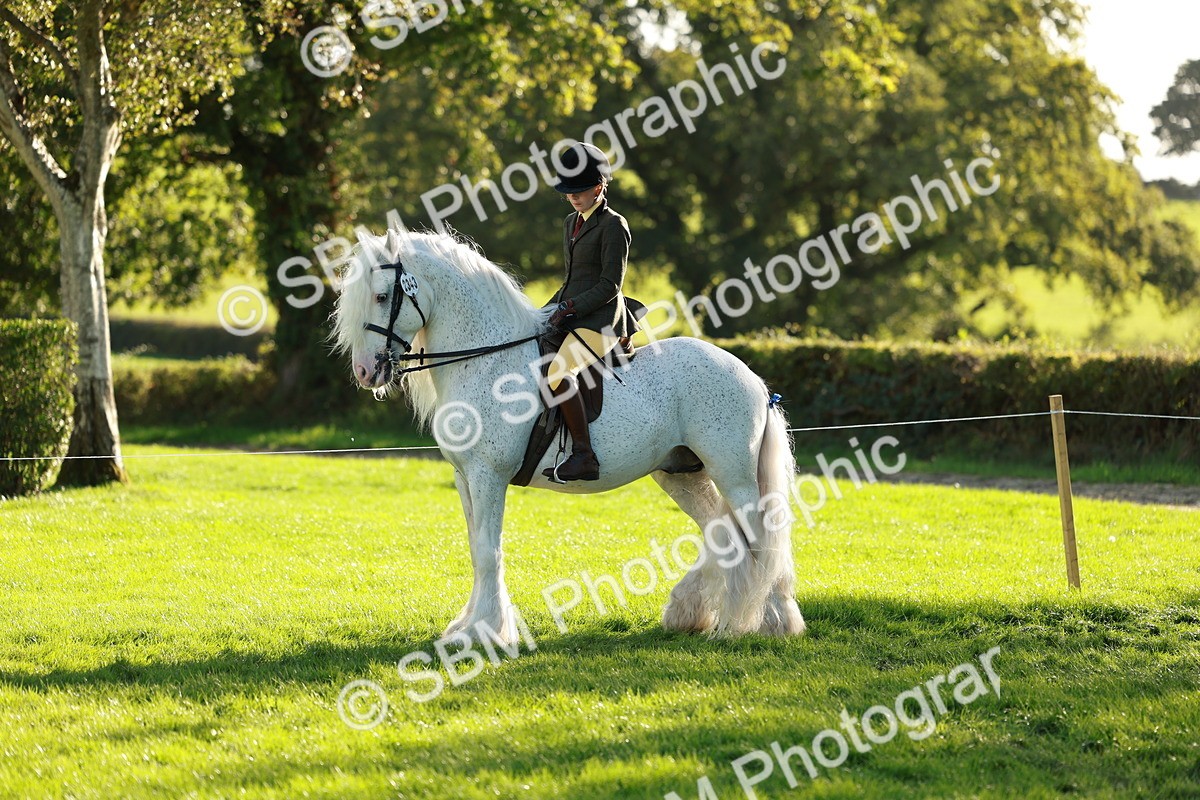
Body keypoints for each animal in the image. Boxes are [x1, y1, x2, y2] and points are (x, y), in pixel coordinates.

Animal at [331, 227, 805, 645]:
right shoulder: (465, 477)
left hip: (735, 476)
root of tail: (751, 377)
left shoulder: (488, 476)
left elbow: (488, 551)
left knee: (759, 538)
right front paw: (469, 626)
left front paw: (484, 632)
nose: (365, 372)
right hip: (682, 474)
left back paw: (760, 622)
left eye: (381, 296)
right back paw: (710, 616)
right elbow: (476, 549)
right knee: (723, 536)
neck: (487, 359)